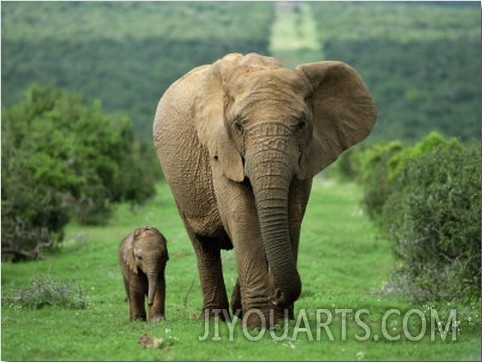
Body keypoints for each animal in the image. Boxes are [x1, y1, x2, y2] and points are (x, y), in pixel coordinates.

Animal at [153, 53, 376, 328]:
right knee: (203, 245)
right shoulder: (221, 149)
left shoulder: (307, 155)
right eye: (238, 126)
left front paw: (279, 320)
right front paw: (260, 323)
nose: (278, 294)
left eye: (301, 124)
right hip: (178, 185)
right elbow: (243, 217)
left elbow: (291, 217)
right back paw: (215, 319)